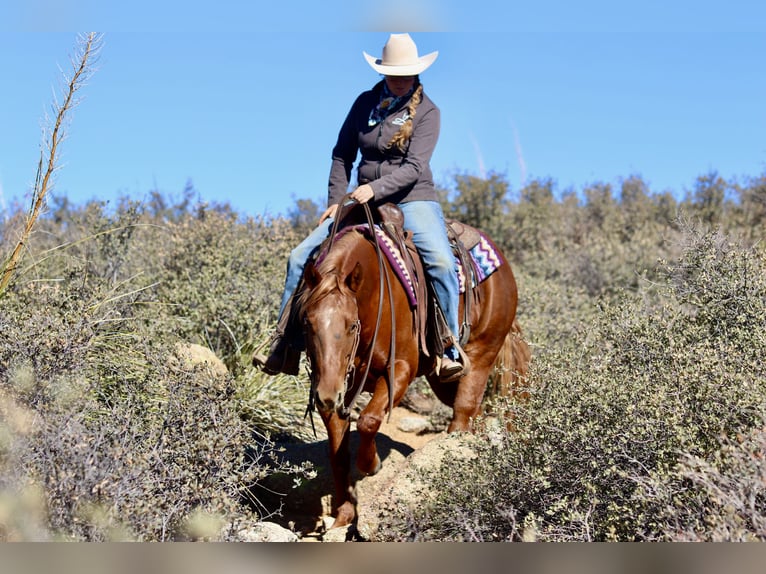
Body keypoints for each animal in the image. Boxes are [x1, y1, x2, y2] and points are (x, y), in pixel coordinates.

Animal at [296, 201, 532, 532]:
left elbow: (368, 420)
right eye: (306, 322)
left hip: (482, 354)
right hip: (442, 381)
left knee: (463, 414)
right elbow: (338, 453)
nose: (327, 395)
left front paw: (371, 465)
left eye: (352, 324)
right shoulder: (335, 385)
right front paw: (343, 516)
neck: (375, 297)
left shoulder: (400, 370)